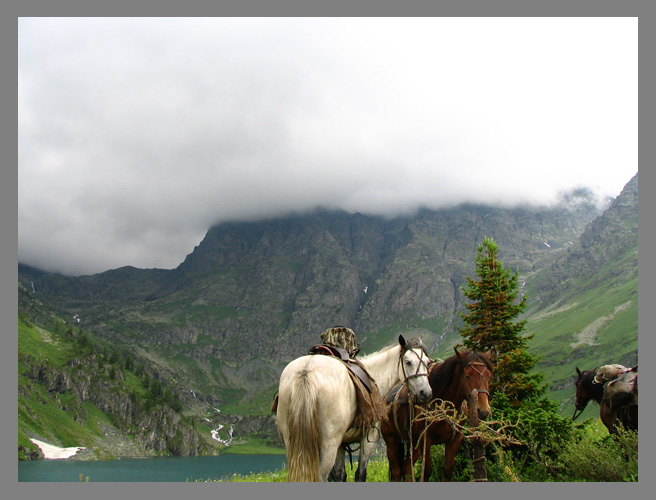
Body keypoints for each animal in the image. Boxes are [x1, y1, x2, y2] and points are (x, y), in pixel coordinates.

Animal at [276, 336, 434, 480]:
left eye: (427, 362)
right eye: (408, 362)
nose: (425, 393)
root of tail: (306, 371)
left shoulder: (341, 443)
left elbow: (340, 475)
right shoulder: (368, 437)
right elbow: (360, 473)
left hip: (293, 442)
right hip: (328, 445)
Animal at [380, 348, 492, 480]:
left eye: (489, 375)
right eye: (468, 376)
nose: (483, 410)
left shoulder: (455, 439)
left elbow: (448, 469)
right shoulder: (425, 440)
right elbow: (427, 471)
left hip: (412, 442)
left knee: (407, 468)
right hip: (391, 439)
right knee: (397, 472)